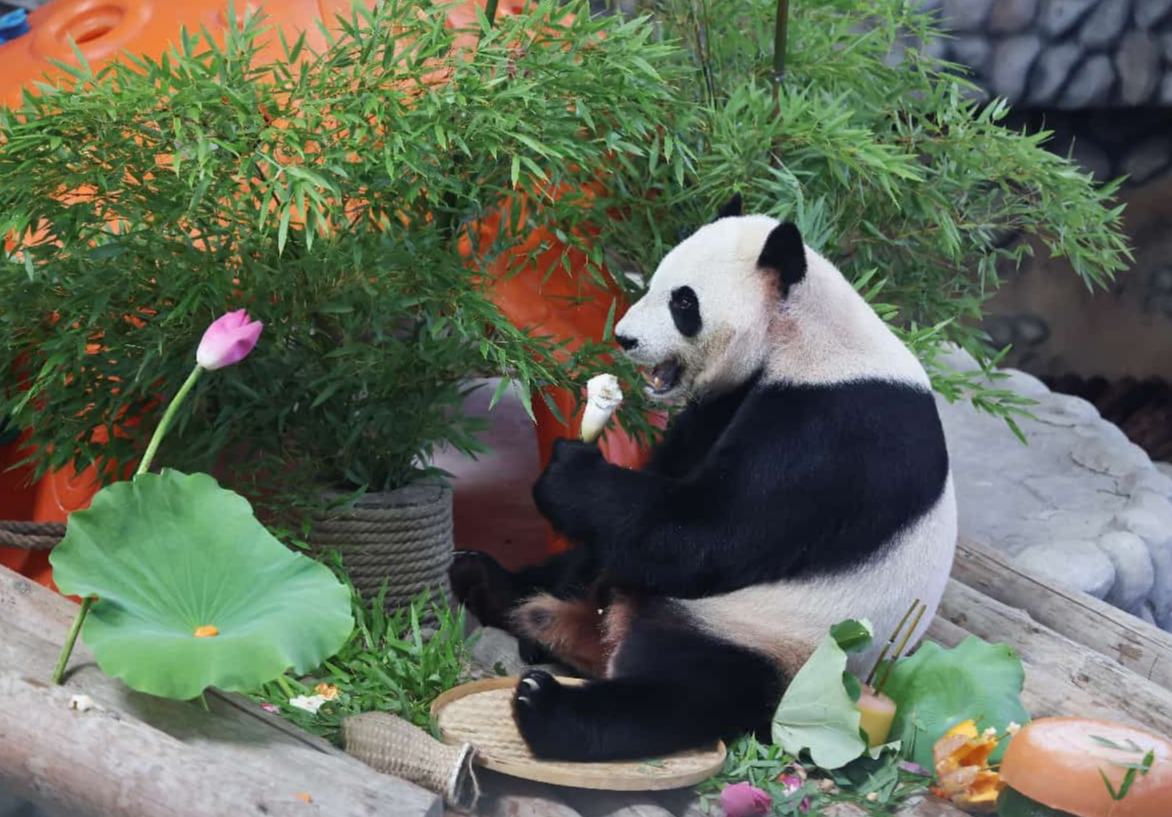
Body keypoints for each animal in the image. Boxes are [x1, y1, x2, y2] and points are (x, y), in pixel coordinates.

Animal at [450, 194, 957, 762]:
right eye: (651, 283)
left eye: (684, 303)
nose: (625, 338)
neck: (803, 335)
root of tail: (600, 631)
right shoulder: (727, 402)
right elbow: (655, 498)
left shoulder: (838, 428)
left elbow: (709, 534)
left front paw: (568, 470)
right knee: (586, 566)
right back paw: (490, 585)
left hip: (774, 639)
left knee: (690, 688)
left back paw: (549, 708)